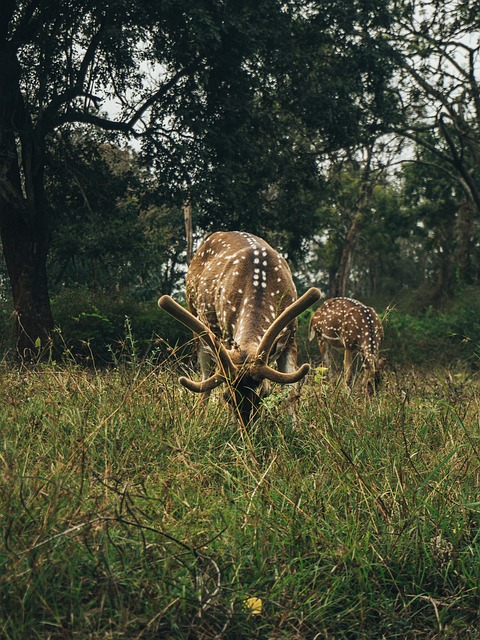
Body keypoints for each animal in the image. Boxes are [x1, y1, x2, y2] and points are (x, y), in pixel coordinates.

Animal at [159, 231, 320, 424]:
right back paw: (200, 419)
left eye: (264, 394)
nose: (247, 427)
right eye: (227, 397)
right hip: (197, 320)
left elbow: (290, 391)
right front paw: (231, 425)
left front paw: (294, 426)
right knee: (205, 379)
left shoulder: (291, 336)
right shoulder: (227, 334)